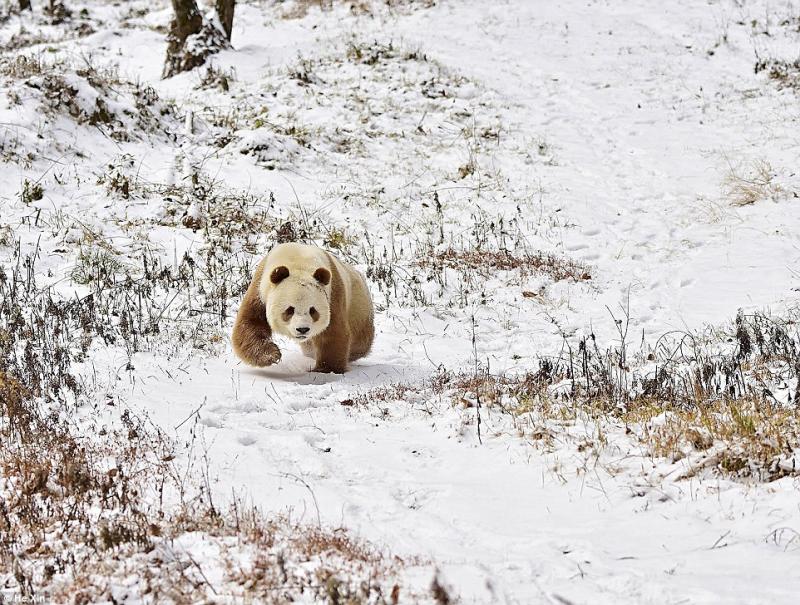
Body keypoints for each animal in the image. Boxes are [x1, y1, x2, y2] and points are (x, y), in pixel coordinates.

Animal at [232, 242, 374, 374]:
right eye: (289, 310)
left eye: (313, 310)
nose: (302, 329)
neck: (298, 260)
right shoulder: (260, 289)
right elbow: (250, 323)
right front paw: (271, 355)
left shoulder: (333, 294)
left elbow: (333, 332)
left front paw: (326, 369)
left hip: (358, 308)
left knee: (360, 342)